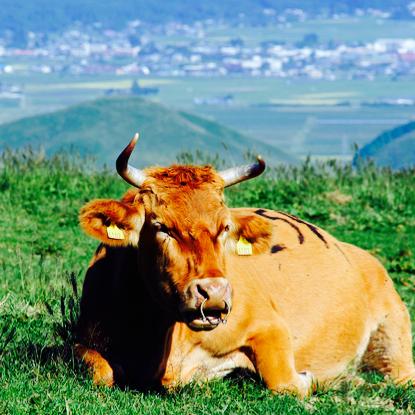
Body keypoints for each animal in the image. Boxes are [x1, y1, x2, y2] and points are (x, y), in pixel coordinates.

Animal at [75, 134, 415, 400]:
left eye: (225, 227)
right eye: (161, 227)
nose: (213, 293)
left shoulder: (269, 327)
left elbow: (286, 383)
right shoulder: (83, 340)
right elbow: (101, 373)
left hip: (394, 328)